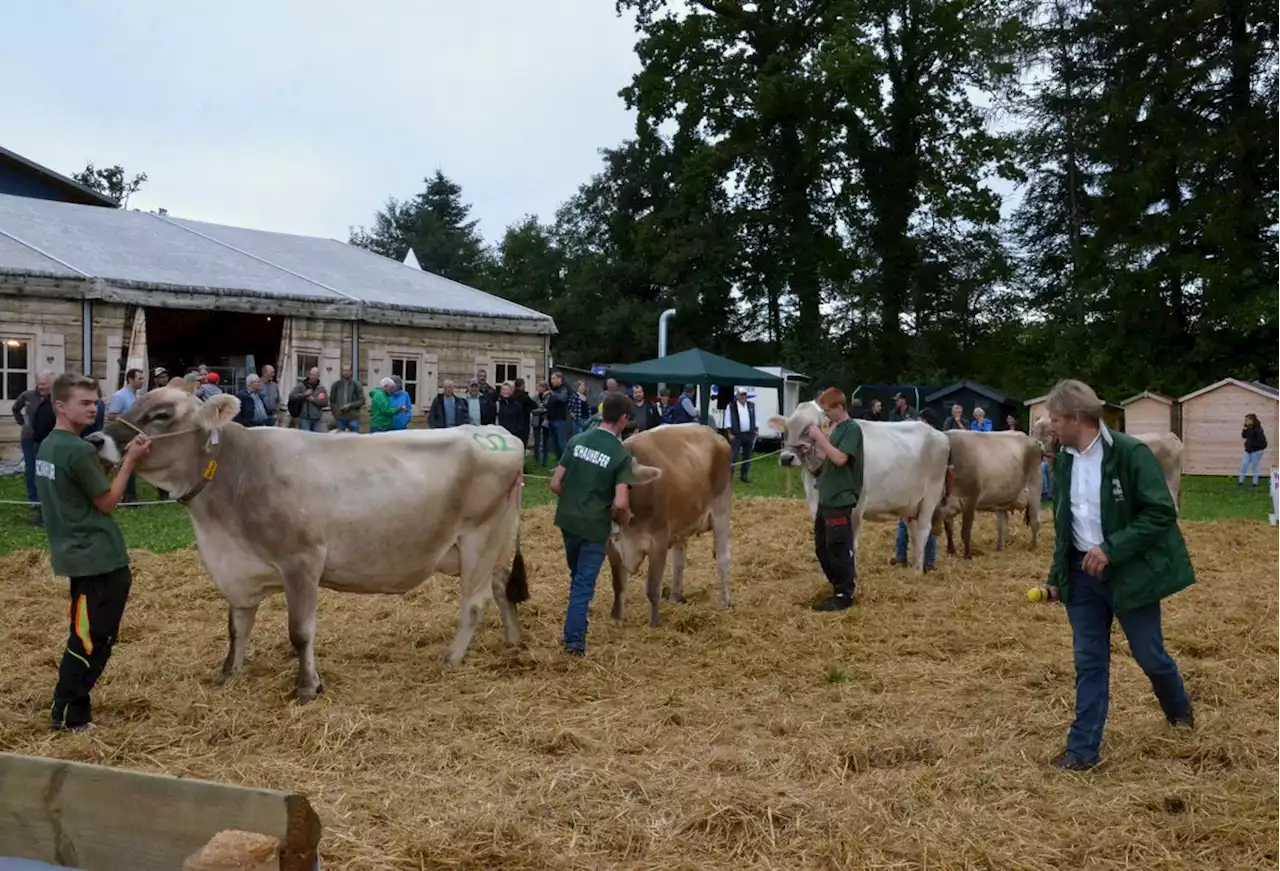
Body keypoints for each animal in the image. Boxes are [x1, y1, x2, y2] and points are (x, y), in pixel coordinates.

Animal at [88, 391, 529, 701]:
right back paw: (513, 641)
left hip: (478, 536)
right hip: (497, 538)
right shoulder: (238, 568)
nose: (96, 439)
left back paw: (451, 659)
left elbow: (300, 632)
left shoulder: (301, 562)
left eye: (161, 415)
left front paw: (307, 687)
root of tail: (498, 433)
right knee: (501, 587)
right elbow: (236, 626)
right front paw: (229, 672)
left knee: (474, 602)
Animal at [606, 422, 732, 625]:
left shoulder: (658, 542)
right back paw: (675, 596)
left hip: (721, 510)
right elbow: (618, 585)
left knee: (722, 558)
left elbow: (652, 588)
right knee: (679, 561)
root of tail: (713, 433)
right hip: (682, 523)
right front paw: (616, 620)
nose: (617, 511)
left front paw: (654, 624)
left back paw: (725, 601)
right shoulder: (612, 546)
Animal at [768, 402, 952, 578]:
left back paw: (917, 572)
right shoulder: (816, 506)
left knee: (923, 530)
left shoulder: (856, 506)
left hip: (931, 494)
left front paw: (853, 576)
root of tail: (938, 434)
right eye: (786, 430)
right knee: (913, 531)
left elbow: (851, 544)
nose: (786, 458)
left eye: (809, 430)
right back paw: (914, 568)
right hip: (909, 503)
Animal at [942, 427, 1039, 558]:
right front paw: (951, 551)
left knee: (1034, 522)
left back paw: (1033, 547)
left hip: (1034, 490)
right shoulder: (946, 507)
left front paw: (968, 556)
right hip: (1002, 500)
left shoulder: (970, 499)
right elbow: (949, 529)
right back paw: (1000, 548)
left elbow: (965, 531)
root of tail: (1031, 439)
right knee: (1003, 526)